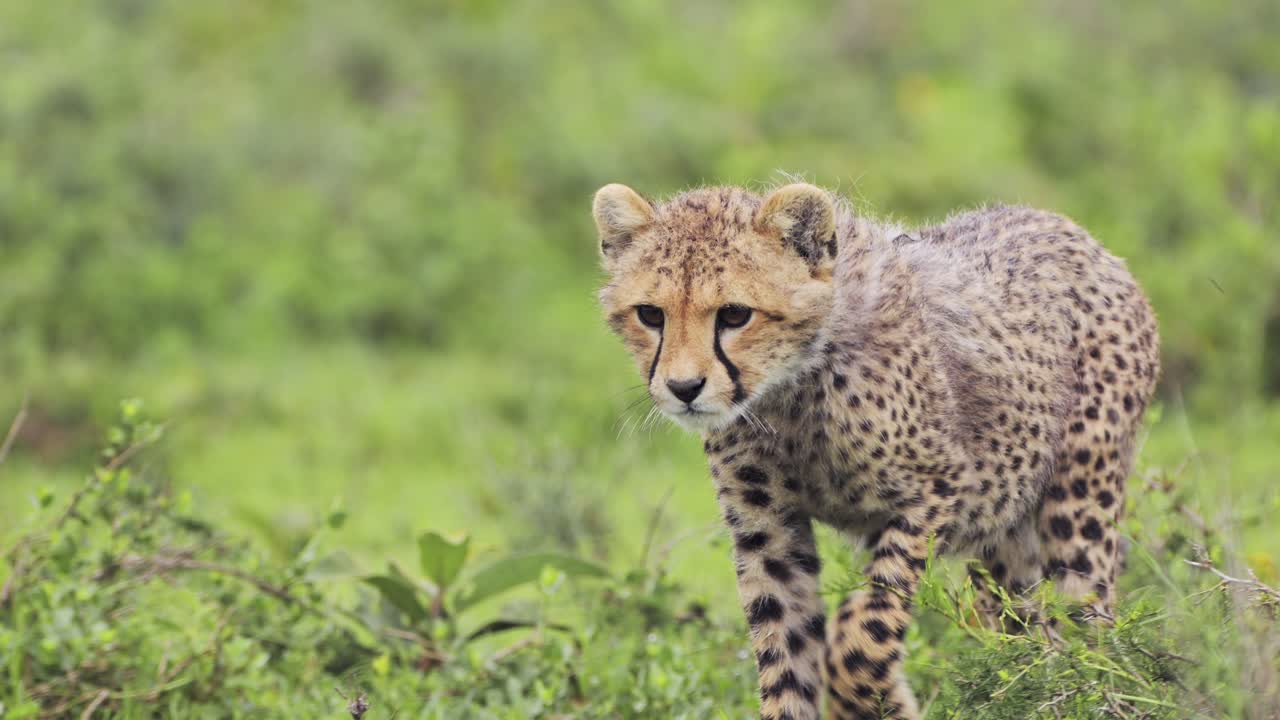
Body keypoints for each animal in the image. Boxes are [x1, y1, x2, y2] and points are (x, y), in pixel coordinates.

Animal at [592, 181, 1160, 720]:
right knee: (1030, 634)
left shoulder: (935, 492)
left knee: (1090, 632)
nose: (684, 388)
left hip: (1078, 505)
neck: (791, 389)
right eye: (650, 314)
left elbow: (861, 635)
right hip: (1006, 535)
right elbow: (786, 657)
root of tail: (1061, 225)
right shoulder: (768, 532)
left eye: (734, 314)